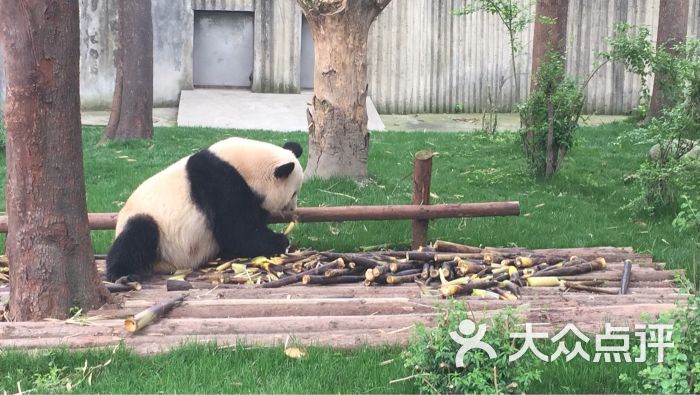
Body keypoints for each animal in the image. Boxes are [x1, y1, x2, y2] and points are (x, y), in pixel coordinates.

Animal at [105, 138, 302, 284]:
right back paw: (123, 274)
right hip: (154, 227)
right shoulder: (220, 183)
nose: (293, 209)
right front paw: (280, 241)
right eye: (294, 193)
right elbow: (237, 231)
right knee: (138, 233)